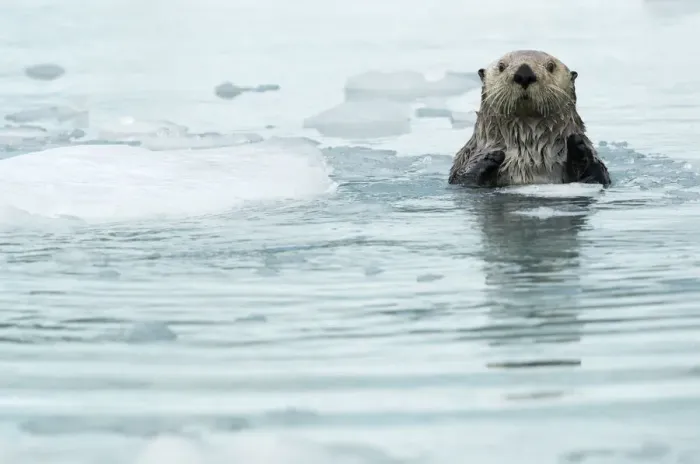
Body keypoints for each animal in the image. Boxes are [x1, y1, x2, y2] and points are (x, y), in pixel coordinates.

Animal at [448, 50, 611, 188]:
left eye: (550, 66)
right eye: (501, 66)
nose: (524, 73)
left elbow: (599, 176)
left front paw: (578, 144)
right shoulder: (465, 156)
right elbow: (460, 180)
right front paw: (491, 156)